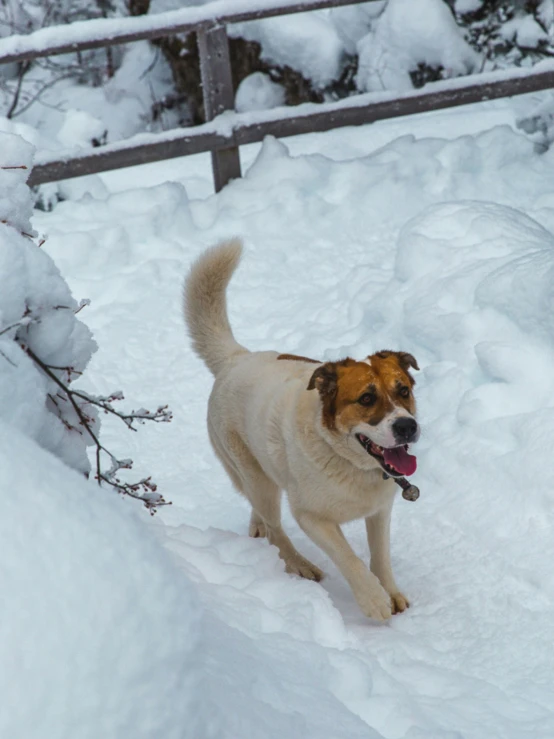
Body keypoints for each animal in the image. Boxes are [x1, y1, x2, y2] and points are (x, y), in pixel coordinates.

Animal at [182, 240, 418, 620]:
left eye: (404, 391)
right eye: (367, 398)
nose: (408, 426)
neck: (345, 458)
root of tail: (236, 358)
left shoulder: (380, 511)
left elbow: (380, 555)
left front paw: (391, 592)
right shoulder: (311, 517)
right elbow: (348, 558)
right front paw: (373, 599)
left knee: (261, 514)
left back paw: (258, 526)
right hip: (253, 473)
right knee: (275, 527)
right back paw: (299, 564)